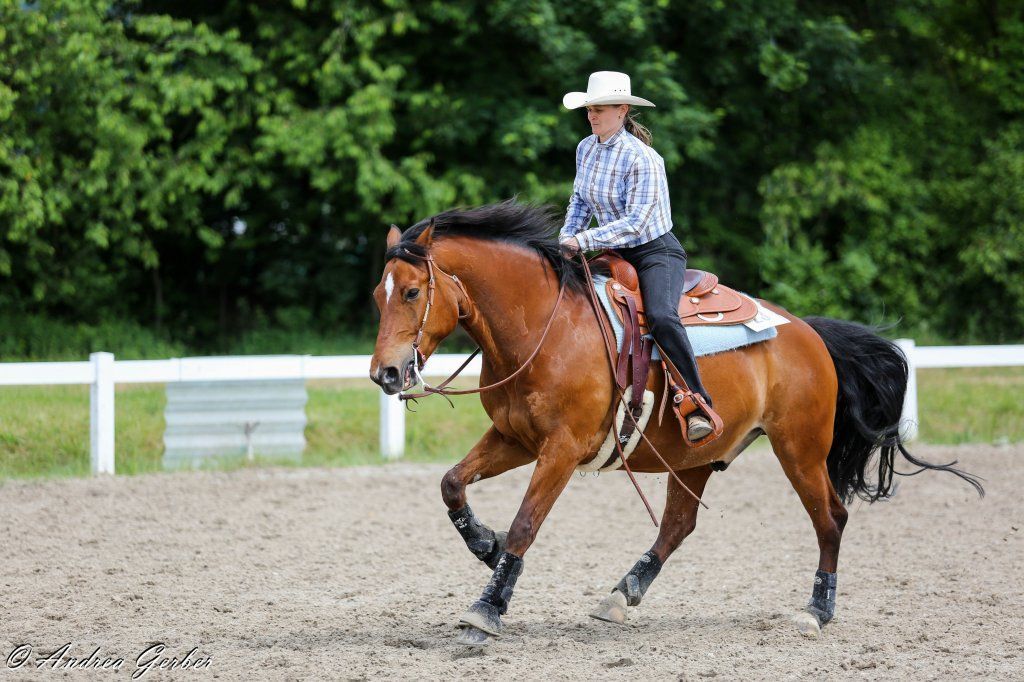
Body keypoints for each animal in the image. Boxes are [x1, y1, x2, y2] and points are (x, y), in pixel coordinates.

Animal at [368, 200, 983, 645]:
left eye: (413, 291)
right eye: (380, 294)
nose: (385, 373)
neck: (544, 325)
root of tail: (808, 332)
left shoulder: (561, 449)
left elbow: (525, 524)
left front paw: (487, 608)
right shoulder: (515, 439)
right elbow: (451, 483)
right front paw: (485, 546)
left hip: (800, 449)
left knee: (830, 518)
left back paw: (816, 611)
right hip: (697, 457)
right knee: (678, 525)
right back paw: (622, 593)